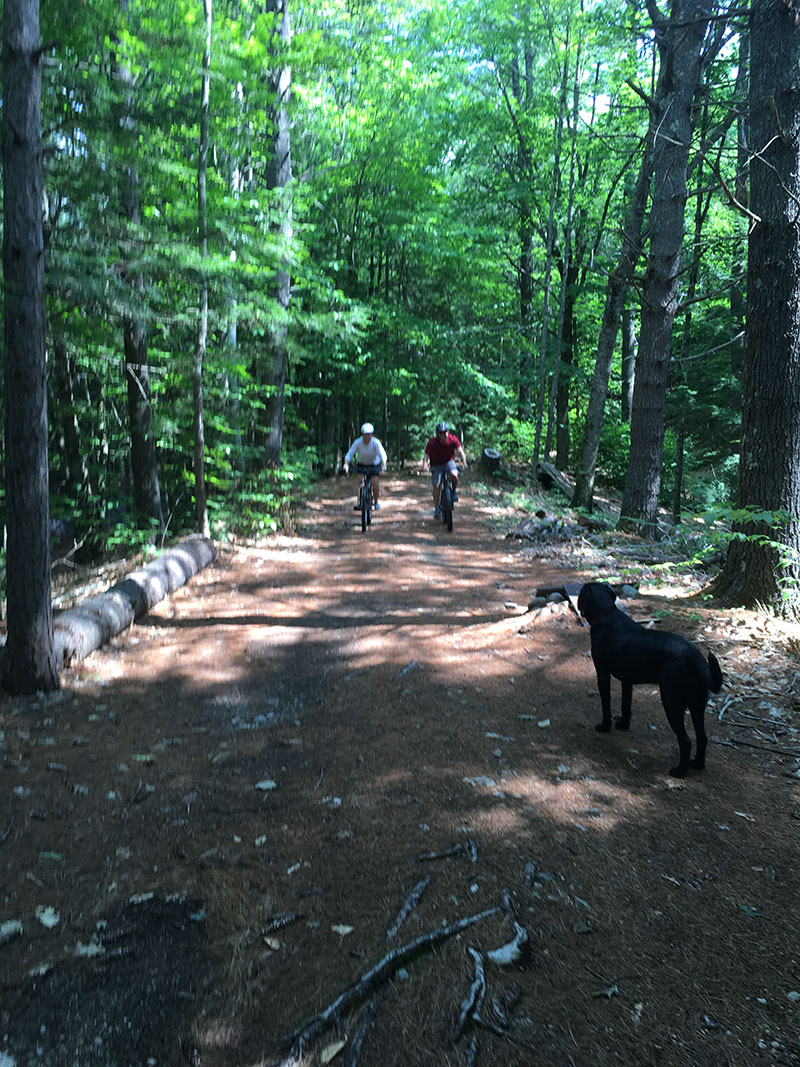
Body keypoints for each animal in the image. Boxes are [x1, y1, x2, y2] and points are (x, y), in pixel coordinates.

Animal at [576, 584, 725, 776]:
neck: (606, 612)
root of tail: (694, 655)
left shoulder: (602, 674)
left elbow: (606, 705)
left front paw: (605, 726)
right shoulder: (627, 681)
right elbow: (626, 706)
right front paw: (623, 724)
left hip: (671, 701)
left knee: (685, 740)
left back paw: (680, 771)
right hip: (697, 705)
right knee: (702, 737)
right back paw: (697, 764)